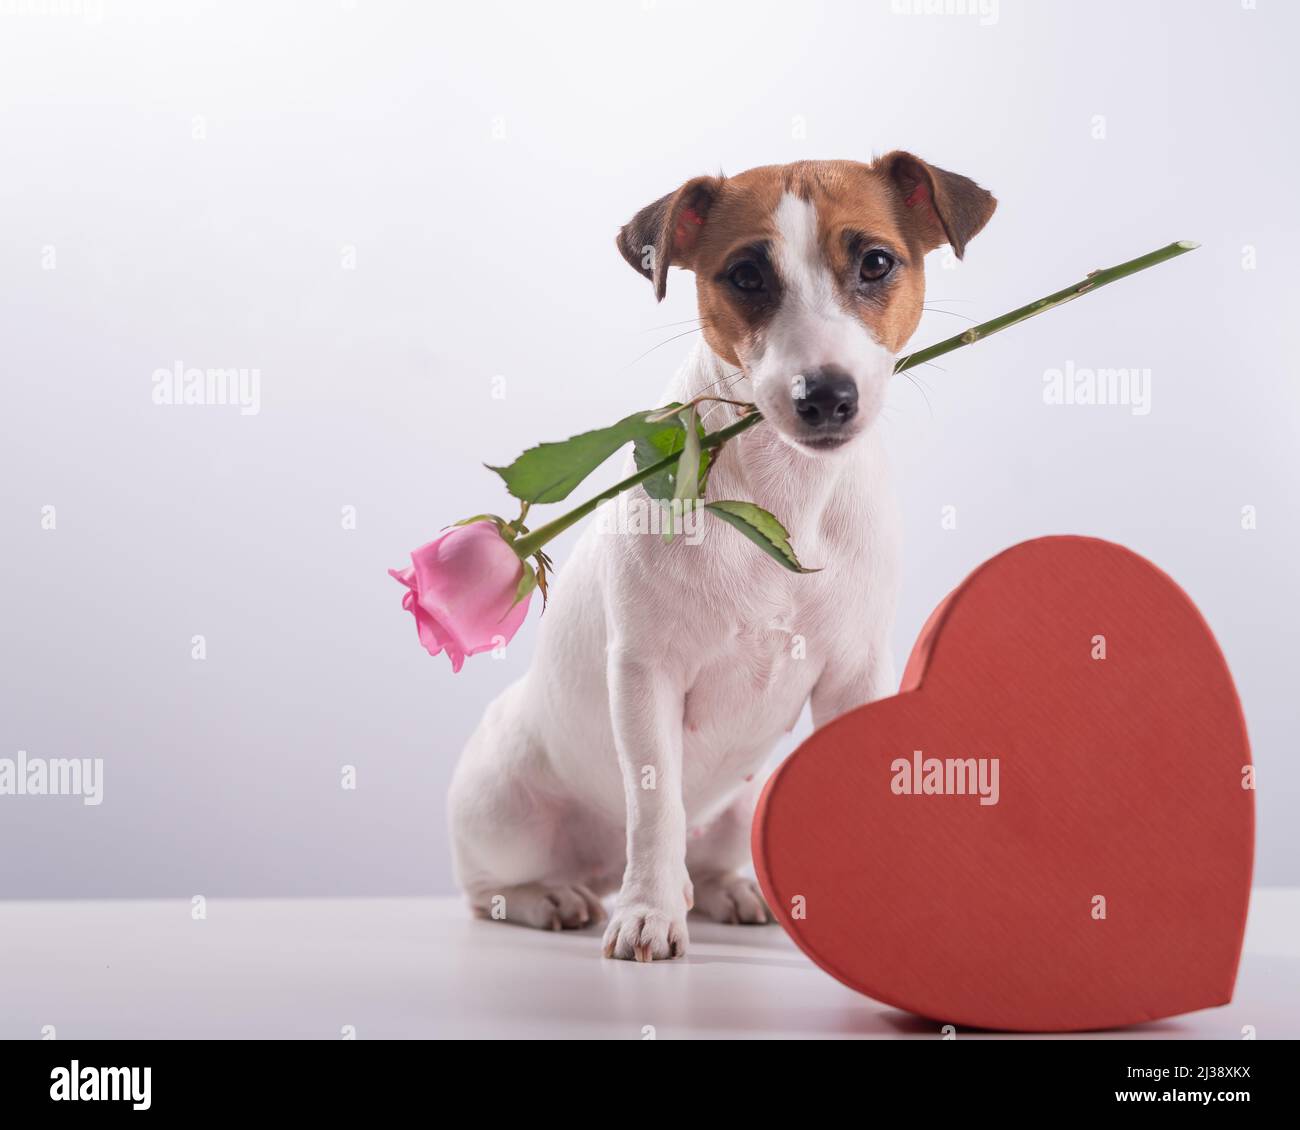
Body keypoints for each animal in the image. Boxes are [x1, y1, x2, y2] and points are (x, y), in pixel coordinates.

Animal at [447, 154, 993, 957]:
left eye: (876, 262)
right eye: (745, 275)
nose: (824, 394)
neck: (785, 493)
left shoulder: (854, 675)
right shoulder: (646, 675)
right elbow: (656, 808)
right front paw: (648, 913)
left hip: (740, 806)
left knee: (703, 860)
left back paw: (724, 888)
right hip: (503, 809)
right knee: (490, 887)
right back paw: (553, 896)